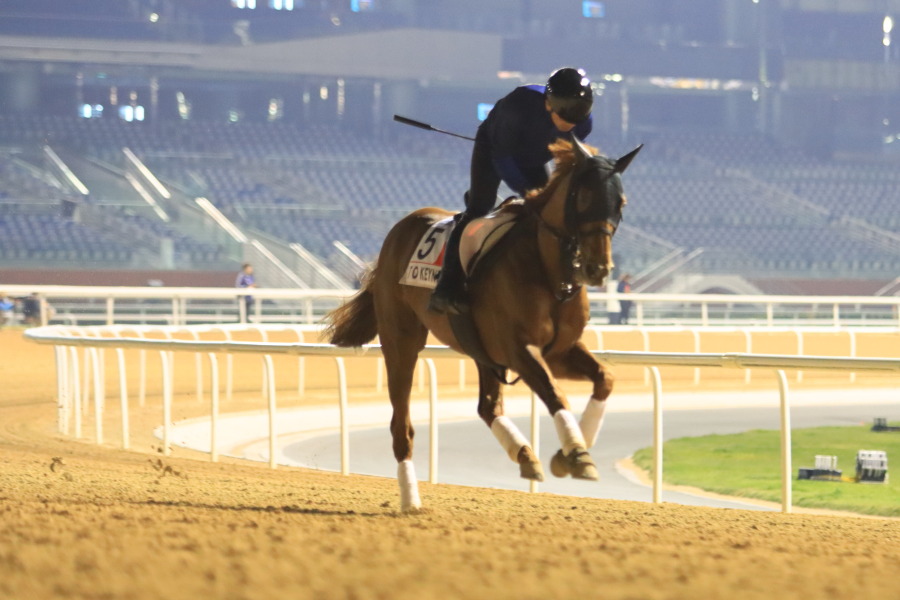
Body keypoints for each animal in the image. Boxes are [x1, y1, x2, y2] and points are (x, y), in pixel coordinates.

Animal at [324, 137, 640, 510]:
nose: (598, 268)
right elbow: (555, 393)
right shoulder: (521, 349)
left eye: (620, 202)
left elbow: (605, 378)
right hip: (401, 341)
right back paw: (410, 498)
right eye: (584, 197)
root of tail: (400, 229)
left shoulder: (559, 351)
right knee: (401, 424)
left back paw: (524, 455)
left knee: (487, 406)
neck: (549, 273)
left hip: (482, 350)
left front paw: (569, 453)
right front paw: (578, 455)